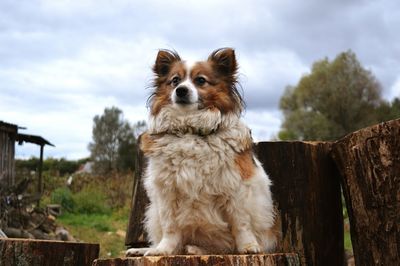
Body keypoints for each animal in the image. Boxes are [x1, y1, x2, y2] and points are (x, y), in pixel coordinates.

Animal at [126, 47, 276, 256]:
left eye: (200, 80)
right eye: (175, 81)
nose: (181, 90)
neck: (191, 130)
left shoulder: (235, 188)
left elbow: (241, 223)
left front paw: (248, 246)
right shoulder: (167, 192)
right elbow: (170, 227)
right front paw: (163, 250)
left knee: (225, 248)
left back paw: (197, 249)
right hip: (153, 213)